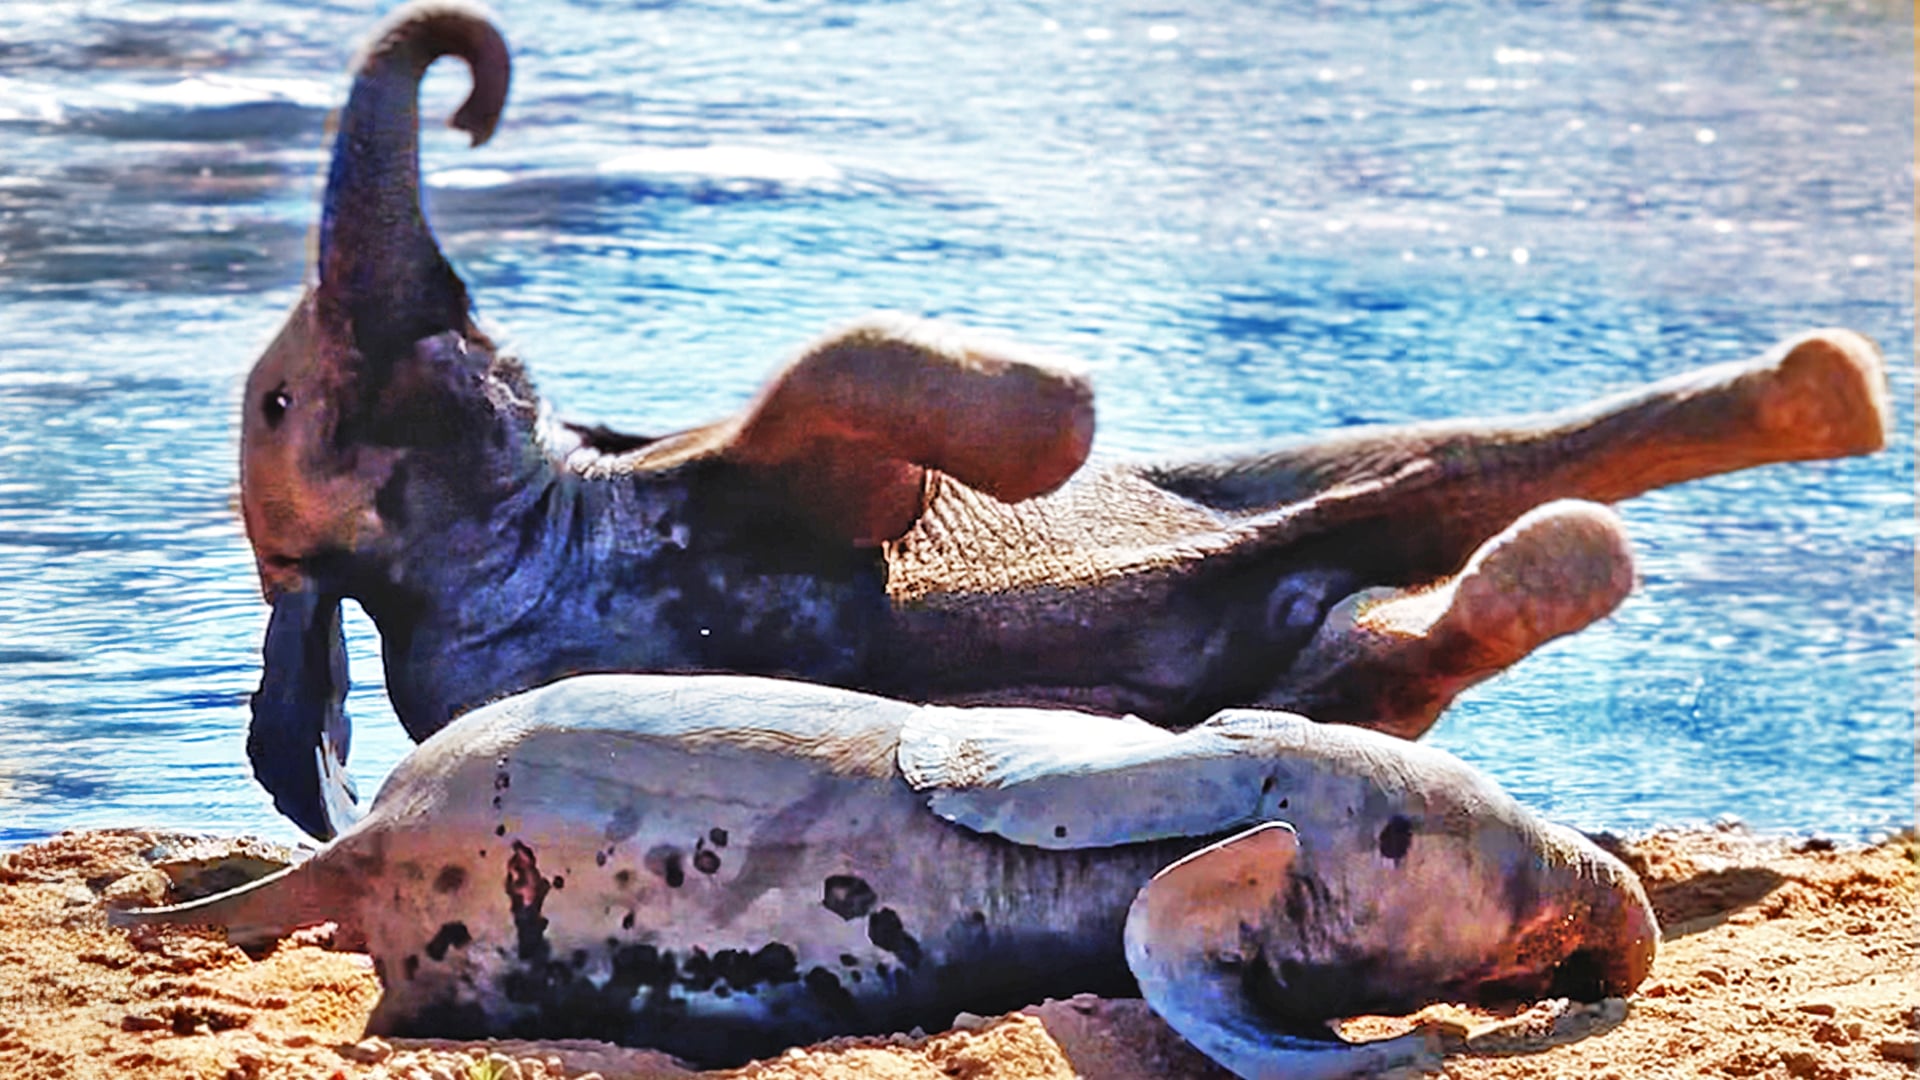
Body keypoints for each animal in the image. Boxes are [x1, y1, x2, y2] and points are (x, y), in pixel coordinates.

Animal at [242, 1, 1889, 839]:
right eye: (282, 398)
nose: (472, 98)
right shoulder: (664, 549)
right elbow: (832, 420)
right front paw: (1050, 416)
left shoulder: (655, 475)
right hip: (1304, 614)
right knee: (1394, 590)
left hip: (1263, 492)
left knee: (1401, 516)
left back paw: (1805, 398)